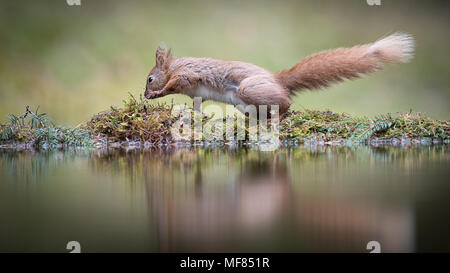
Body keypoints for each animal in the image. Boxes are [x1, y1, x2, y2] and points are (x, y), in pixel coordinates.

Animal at [145, 33, 414, 115]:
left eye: (149, 79)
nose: (145, 94)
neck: (173, 67)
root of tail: (277, 80)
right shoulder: (196, 94)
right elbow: (198, 104)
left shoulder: (187, 74)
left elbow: (174, 84)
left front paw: (158, 92)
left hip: (248, 89)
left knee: (286, 103)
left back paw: (280, 115)